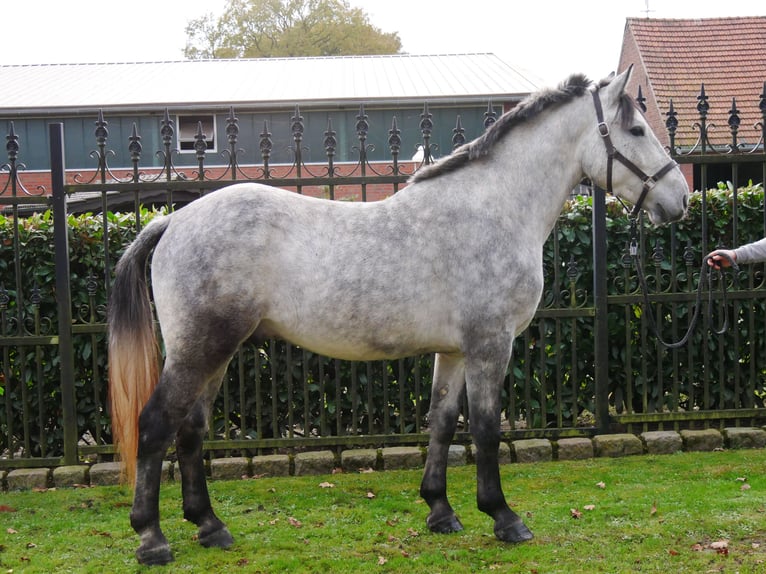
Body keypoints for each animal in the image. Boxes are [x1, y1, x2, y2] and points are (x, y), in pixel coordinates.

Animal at [106, 68, 688, 568]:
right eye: (636, 129)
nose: (679, 199)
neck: (493, 209)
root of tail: (174, 219)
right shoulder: (490, 345)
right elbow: (485, 428)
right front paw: (503, 517)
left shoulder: (454, 351)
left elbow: (442, 422)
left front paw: (440, 511)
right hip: (200, 350)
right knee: (155, 426)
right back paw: (152, 538)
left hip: (217, 353)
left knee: (191, 431)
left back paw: (210, 526)